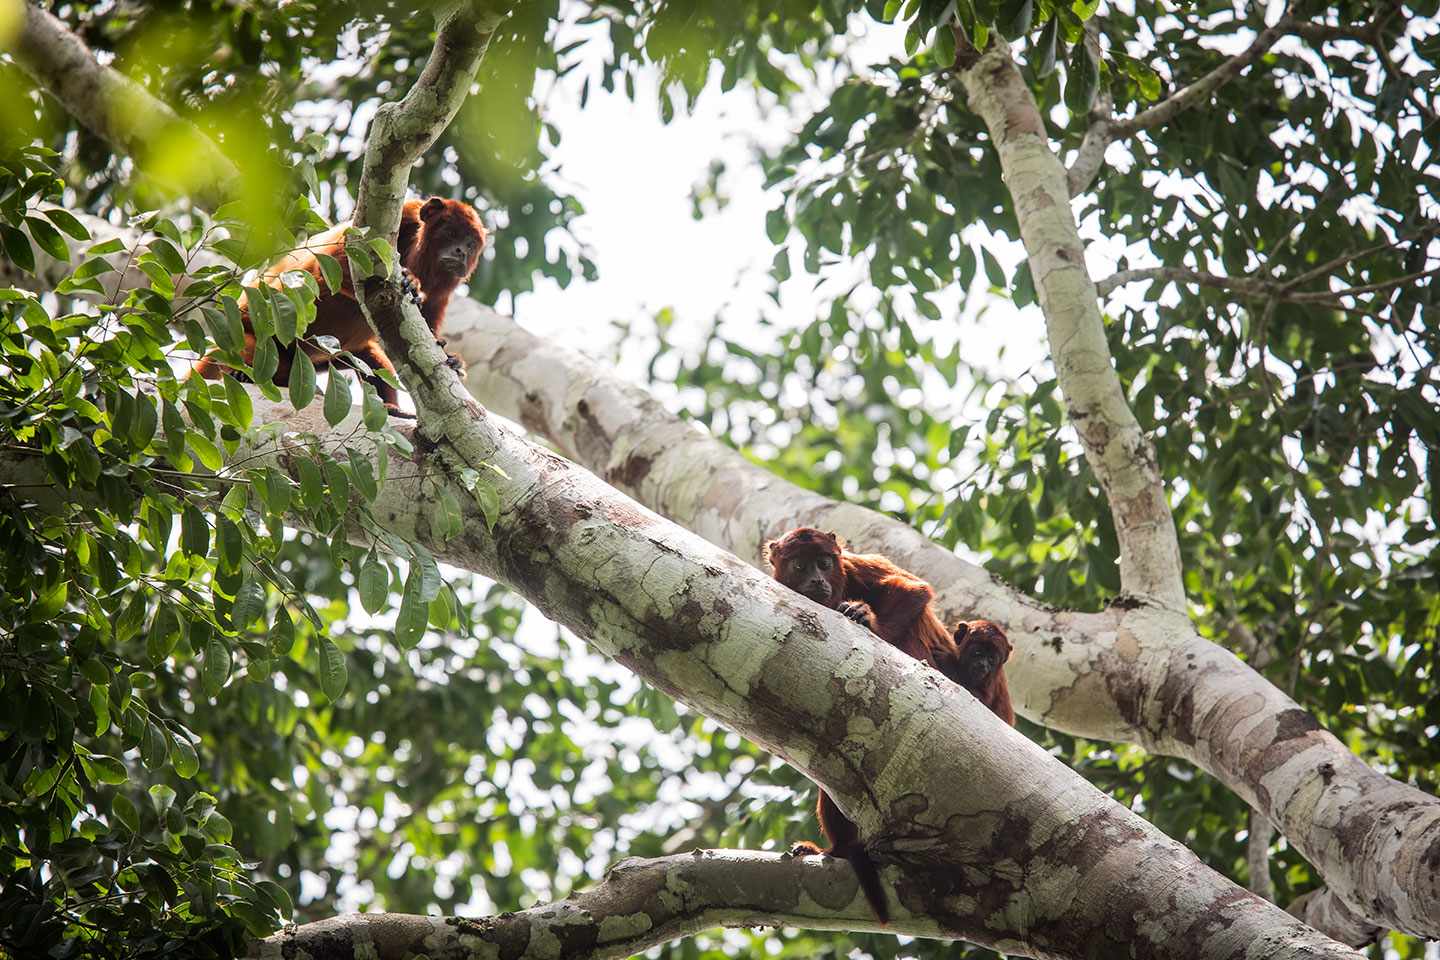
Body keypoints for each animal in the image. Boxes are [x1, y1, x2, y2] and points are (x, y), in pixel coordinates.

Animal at [194, 196, 486, 417]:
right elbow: (330, 264)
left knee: (372, 360)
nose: (461, 252)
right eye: (451, 233)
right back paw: (241, 375)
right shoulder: (401, 217)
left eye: (471, 244)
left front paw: (451, 359)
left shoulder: (442, 292)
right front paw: (410, 281)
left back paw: (392, 408)